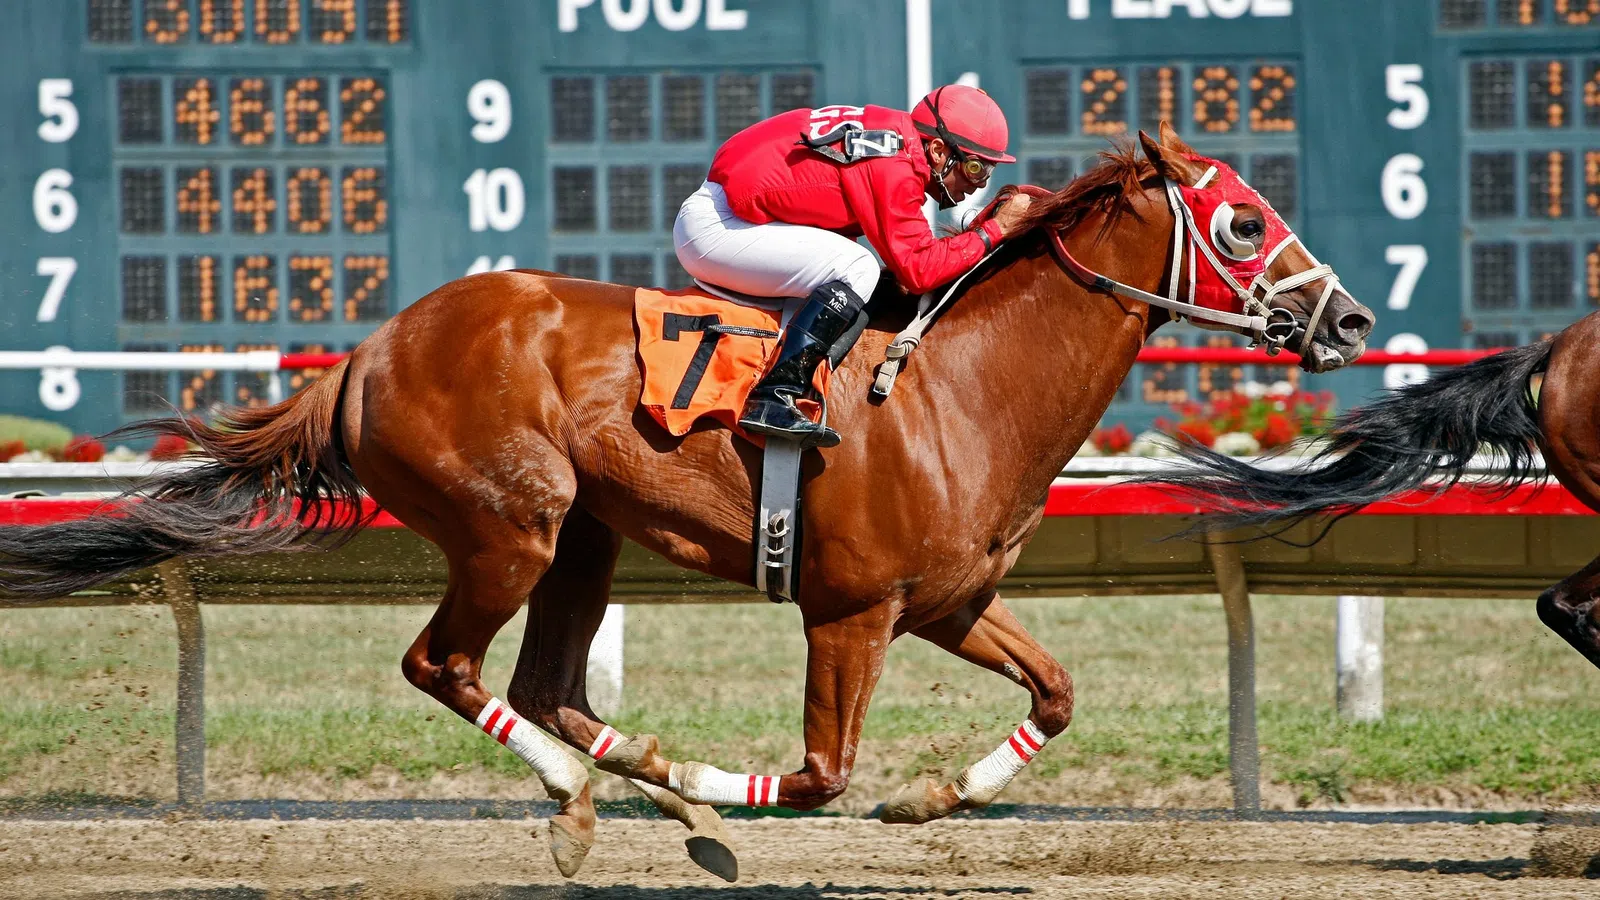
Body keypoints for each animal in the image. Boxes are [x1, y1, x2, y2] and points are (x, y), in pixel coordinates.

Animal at [0, 123, 1373, 880]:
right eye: (1242, 223)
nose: (1350, 319)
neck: (961, 392)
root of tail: (370, 352)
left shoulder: (947, 602)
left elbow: (1056, 693)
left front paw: (932, 797)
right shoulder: (849, 612)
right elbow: (817, 777)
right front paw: (731, 803)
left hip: (585, 539)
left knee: (547, 683)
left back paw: (633, 782)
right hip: (513, 523)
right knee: (447, 666)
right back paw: (584, 801)